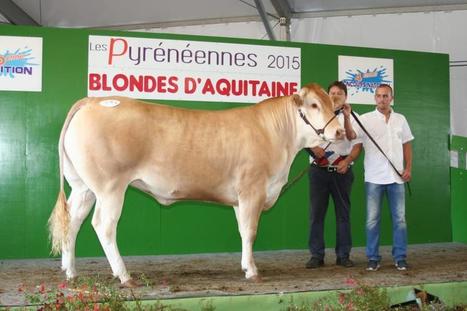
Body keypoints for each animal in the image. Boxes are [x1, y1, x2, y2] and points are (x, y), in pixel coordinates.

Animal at [49, 83, 346, 288]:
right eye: (313, 105)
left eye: (331, 103)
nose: (340, 132)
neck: (277, 137)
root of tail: (93, 101)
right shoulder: (252, 189)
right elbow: (251, 231)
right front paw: (253, 272)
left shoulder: (240, 198)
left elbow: (242, 231)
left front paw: (245, 266)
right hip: (110, 187)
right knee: (104, 225)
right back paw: (124, 275)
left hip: (84, 187)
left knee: (72, 221)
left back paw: (71, 272)